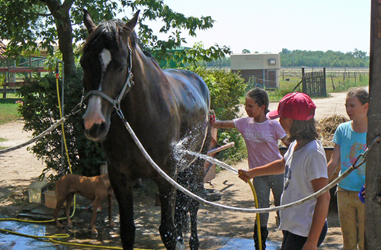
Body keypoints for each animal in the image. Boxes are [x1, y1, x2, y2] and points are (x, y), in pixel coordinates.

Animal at [81, 10, 211, 250]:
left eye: (120, 65)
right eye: (84, 62)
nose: (94, 123)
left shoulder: (165, 177)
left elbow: (168, 232)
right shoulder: (120, 178)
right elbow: (127, 231)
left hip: (197, 162)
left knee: (192, 204)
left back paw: (193, 242)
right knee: (182, 206)